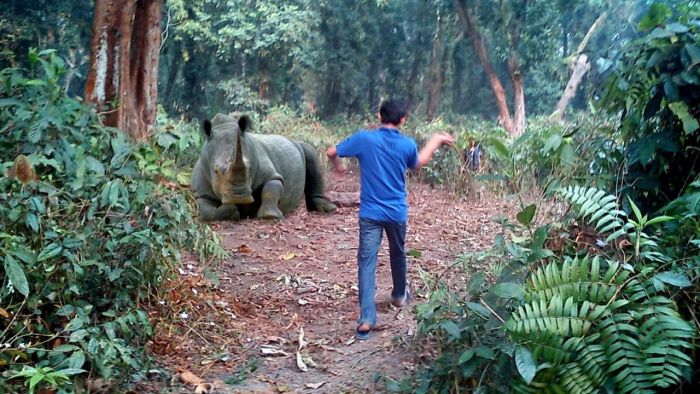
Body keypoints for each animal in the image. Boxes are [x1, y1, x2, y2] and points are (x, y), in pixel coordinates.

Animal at [190, 113, 334, 222]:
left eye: (249, 168)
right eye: (215, 171)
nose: (239, 197)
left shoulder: (270, 174)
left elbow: (271, 189)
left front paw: (270, 216)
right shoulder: (201, 188)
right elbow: (205, 211)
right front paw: (232, 211)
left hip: (299, 145)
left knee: (310, 152)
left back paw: (328, 209)